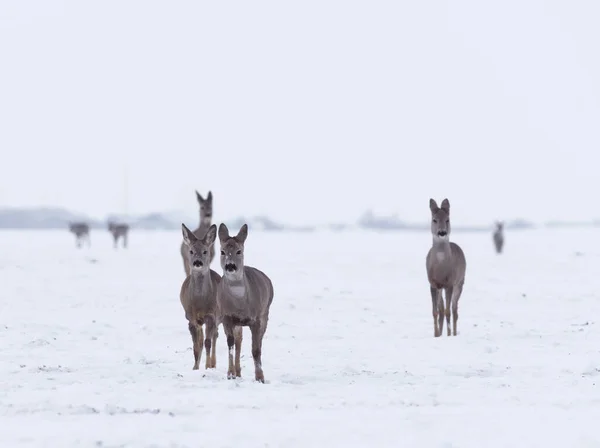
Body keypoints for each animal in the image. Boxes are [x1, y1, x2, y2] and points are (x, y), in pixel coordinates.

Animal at [182, 222, 224, 370]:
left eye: (205, 251)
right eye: (191, 251)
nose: (197, 262)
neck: (199, 302)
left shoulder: (211, 315)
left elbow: (207, 342)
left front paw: (207, 366)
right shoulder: (190, 317)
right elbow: (196, 345)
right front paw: (195, 368)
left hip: (219, 316)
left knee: (215, 336)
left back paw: (213, 364)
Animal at [218, 223, 274, 382]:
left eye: (239, 251)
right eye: (222, 251)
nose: (230, 266)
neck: (240, 304)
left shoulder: (256, 319)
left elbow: (255, 349)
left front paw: (260, 377)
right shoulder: (226, 317)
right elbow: (231, 345)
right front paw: (230, 374)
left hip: (265, 313)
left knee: (259, 342)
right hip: (238, 323)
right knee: (239, 342)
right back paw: (237, 373)